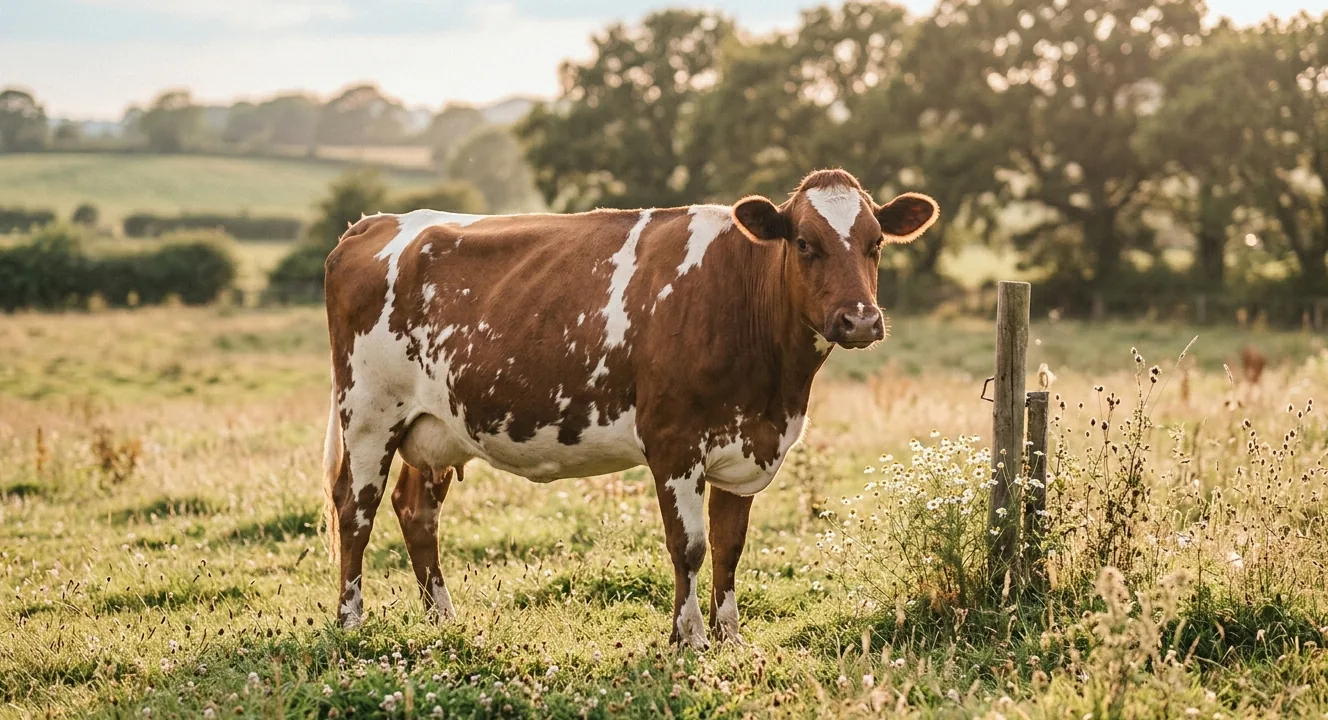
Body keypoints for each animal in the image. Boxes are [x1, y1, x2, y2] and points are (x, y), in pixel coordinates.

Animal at [321, 168, 939, 648]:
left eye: (875, 242)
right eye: (806, 242)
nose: (860, 319)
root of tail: (374, 223)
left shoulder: (746, 448)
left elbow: (730, 545)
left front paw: (731, 638)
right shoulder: (674, 441)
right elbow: (688, 545)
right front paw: (688, 638)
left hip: (435, 427)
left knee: (416, 510)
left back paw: (443, 619)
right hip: (370, 413)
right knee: (356, 510)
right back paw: (350, 622)